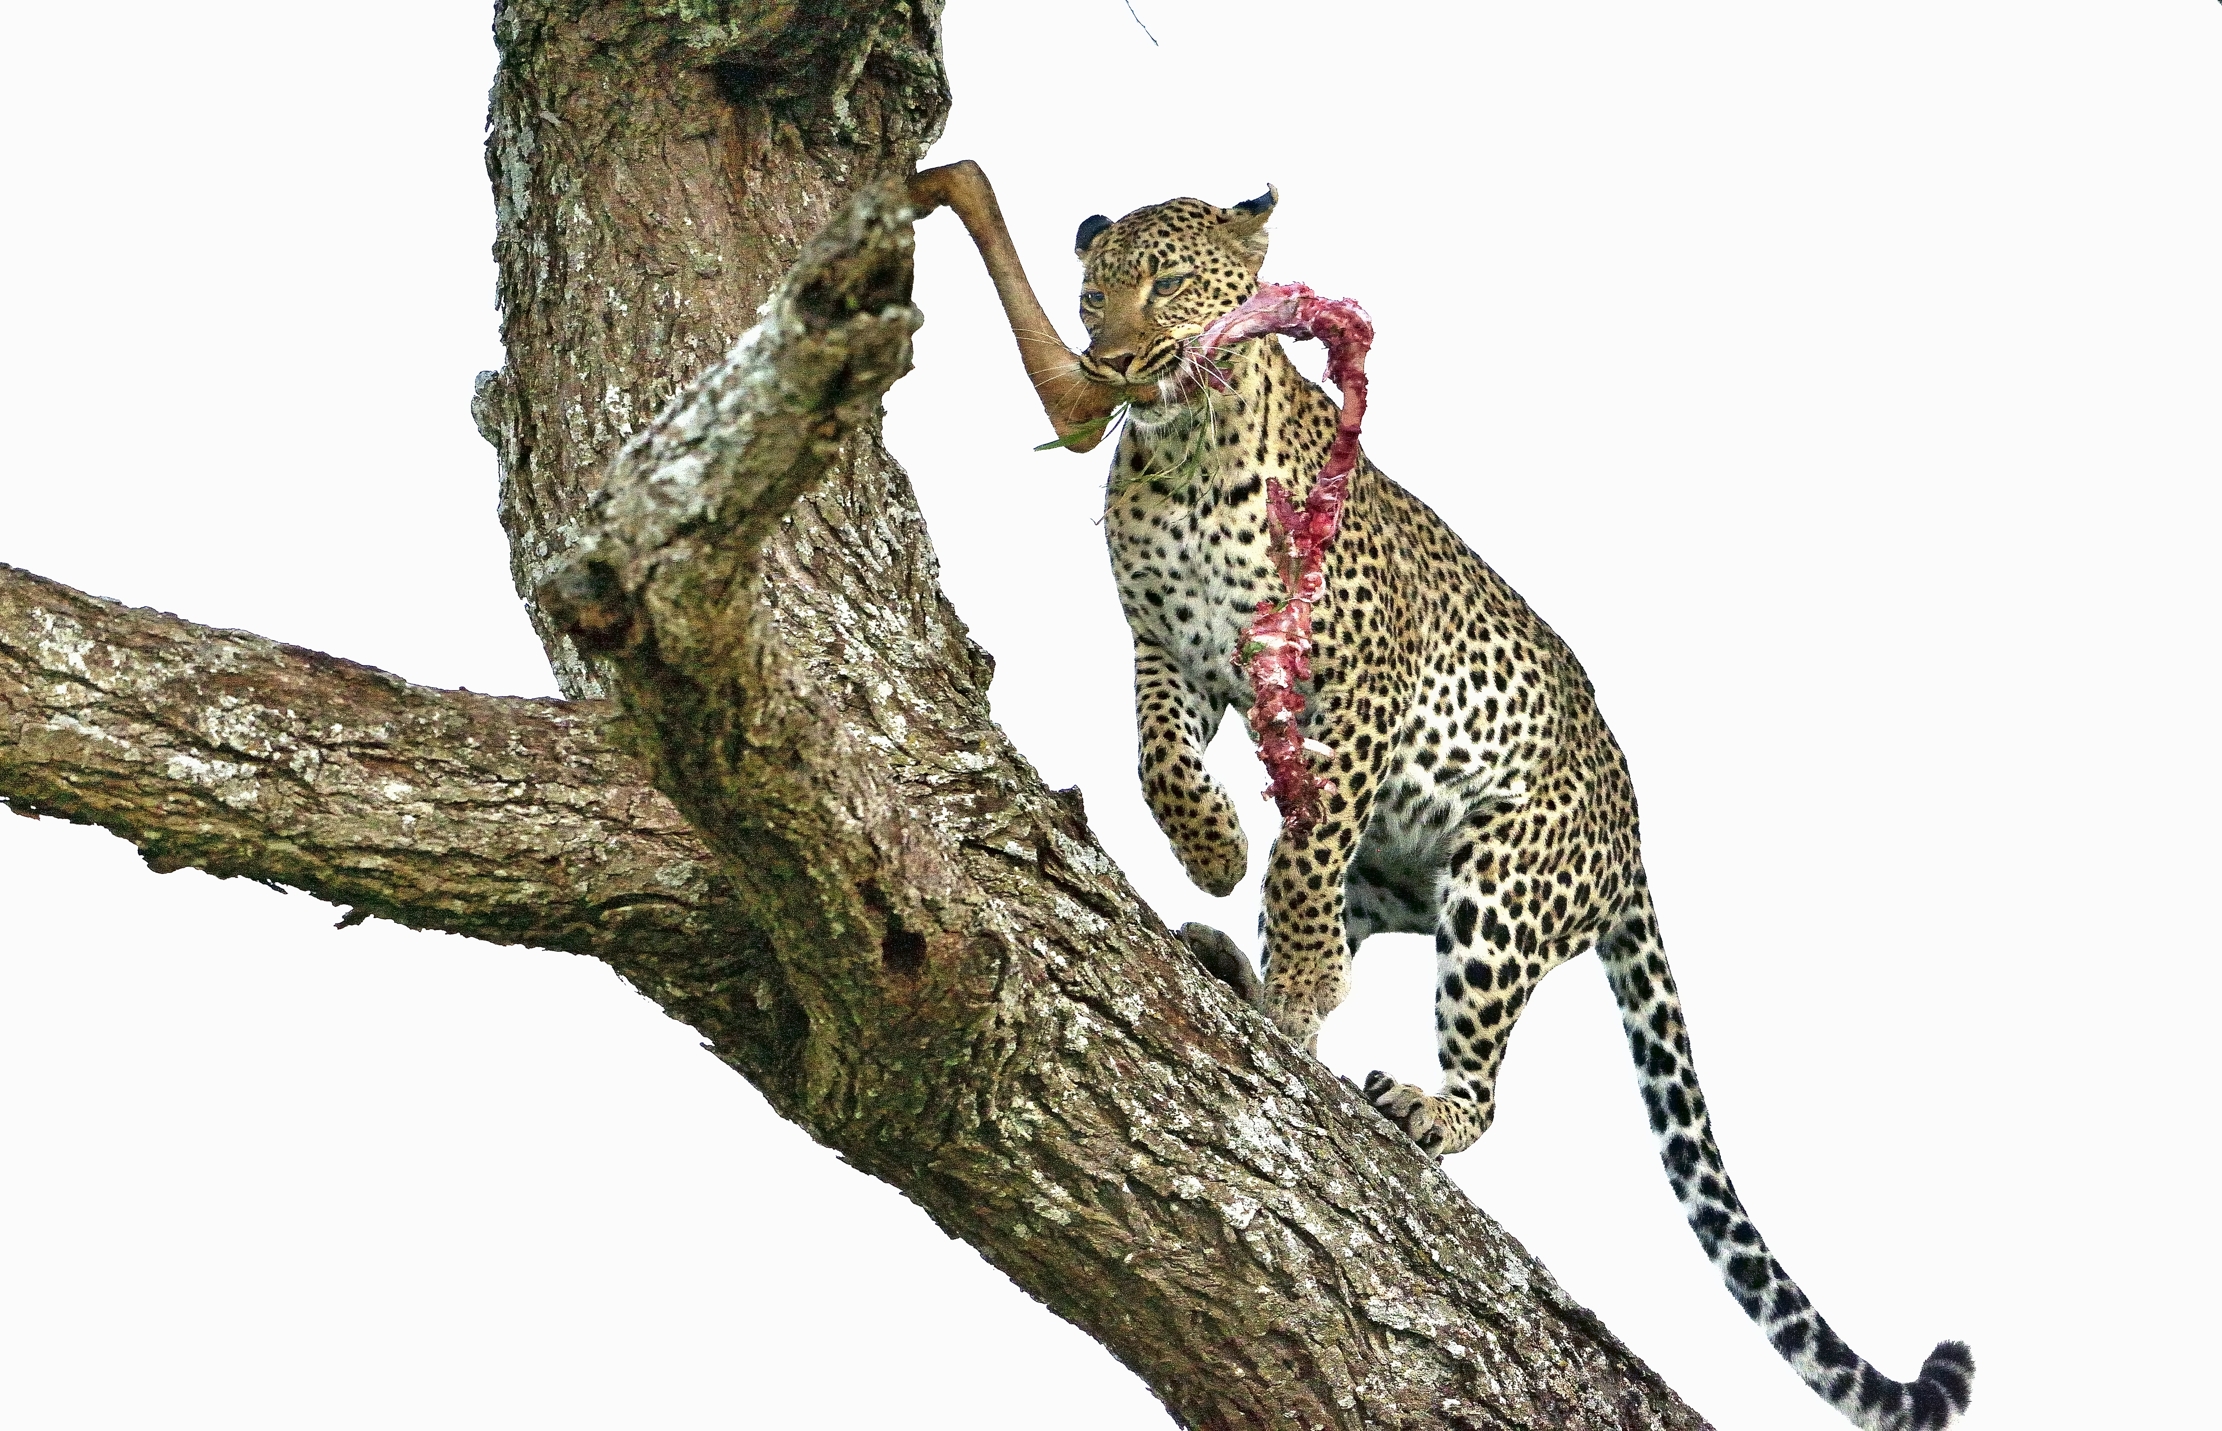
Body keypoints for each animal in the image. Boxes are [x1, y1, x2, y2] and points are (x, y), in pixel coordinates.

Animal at [905, 160, 1973, 1431]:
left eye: (1164, 284)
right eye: (1087, 293)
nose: (1108, 360)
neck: (1187, 458)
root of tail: (1630, 834)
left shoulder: (1354, 686)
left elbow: (1300, 857)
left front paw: (1276, 948)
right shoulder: (1166, 653)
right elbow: (1160, 760)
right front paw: (1210, 849)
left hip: (1499, 889)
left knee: (1472, 1062)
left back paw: (1402, 1089)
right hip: (1400, 881)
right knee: (1330, 913)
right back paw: (1241, 969)